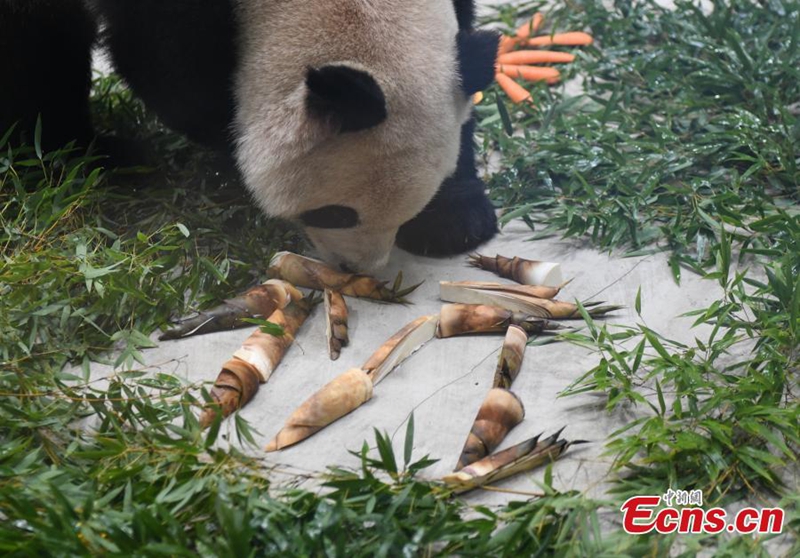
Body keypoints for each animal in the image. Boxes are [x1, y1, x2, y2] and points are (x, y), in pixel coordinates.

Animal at [0, 0, 500, 273]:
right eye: (335, 214)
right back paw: (83, 156)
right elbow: (165, 66)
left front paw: (453, 218)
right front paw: (230, 142)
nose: (357, 268)